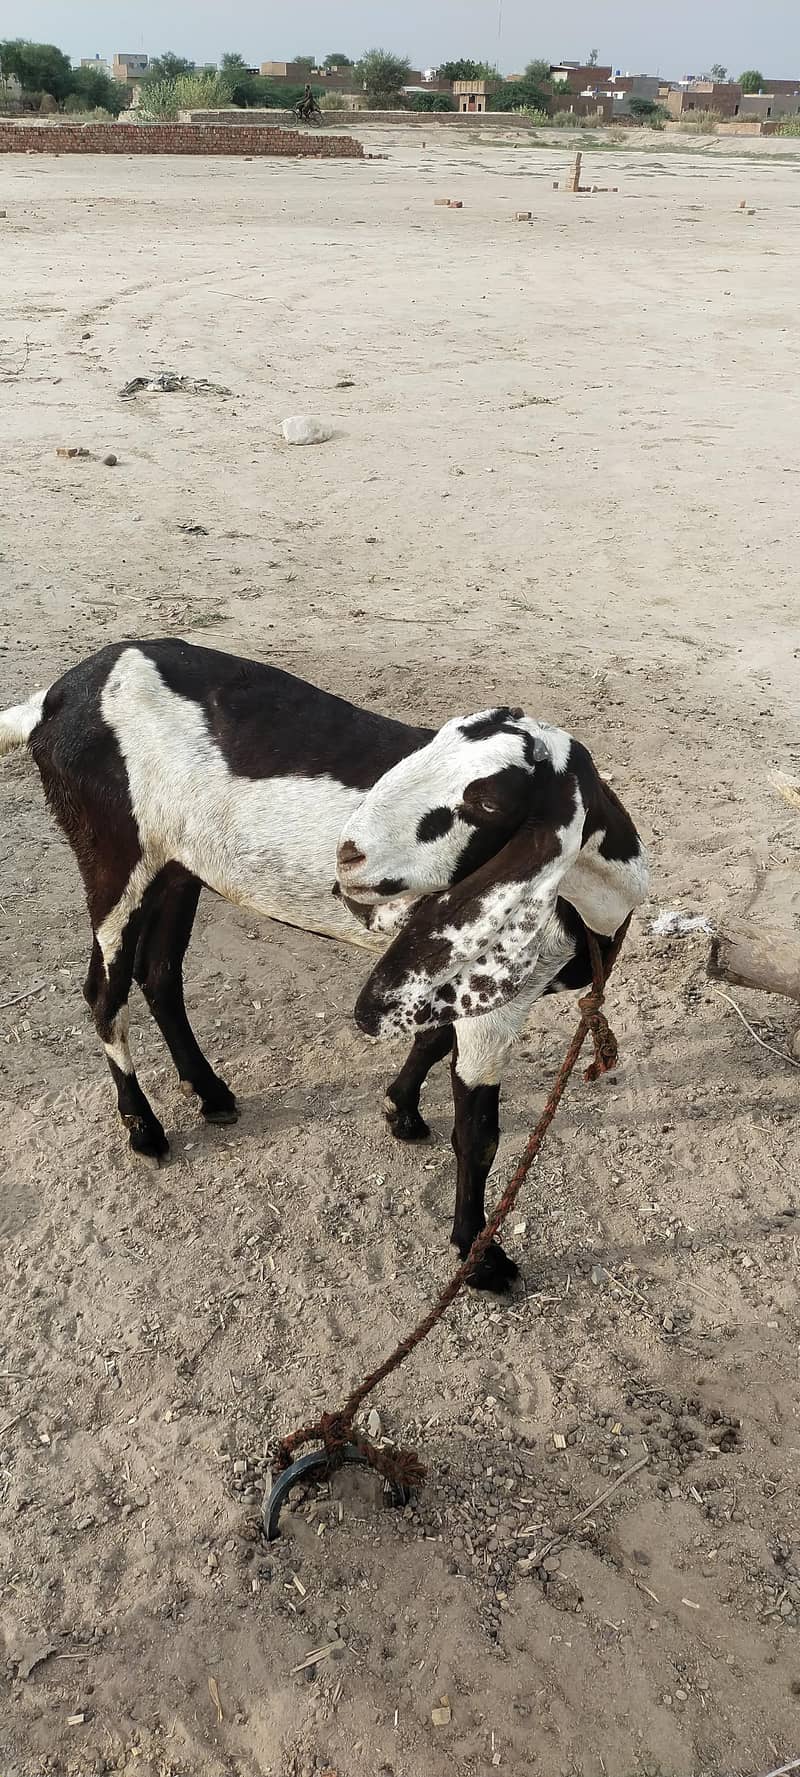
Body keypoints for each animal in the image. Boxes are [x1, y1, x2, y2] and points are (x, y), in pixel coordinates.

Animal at [0, 640, 649, 1291]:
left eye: (488, 800)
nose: (349, 856)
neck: (590, 896)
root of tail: (54, 700)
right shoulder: (492, 1007)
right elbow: (479, 1135)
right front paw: (479, 1257)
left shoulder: (453, 970)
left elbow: (432, 1038)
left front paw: (400, 1110)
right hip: (115, 853)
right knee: (104, 991)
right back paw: (143, 1127)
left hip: (178, 866)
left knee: (159, 973)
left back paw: (210, 1093)